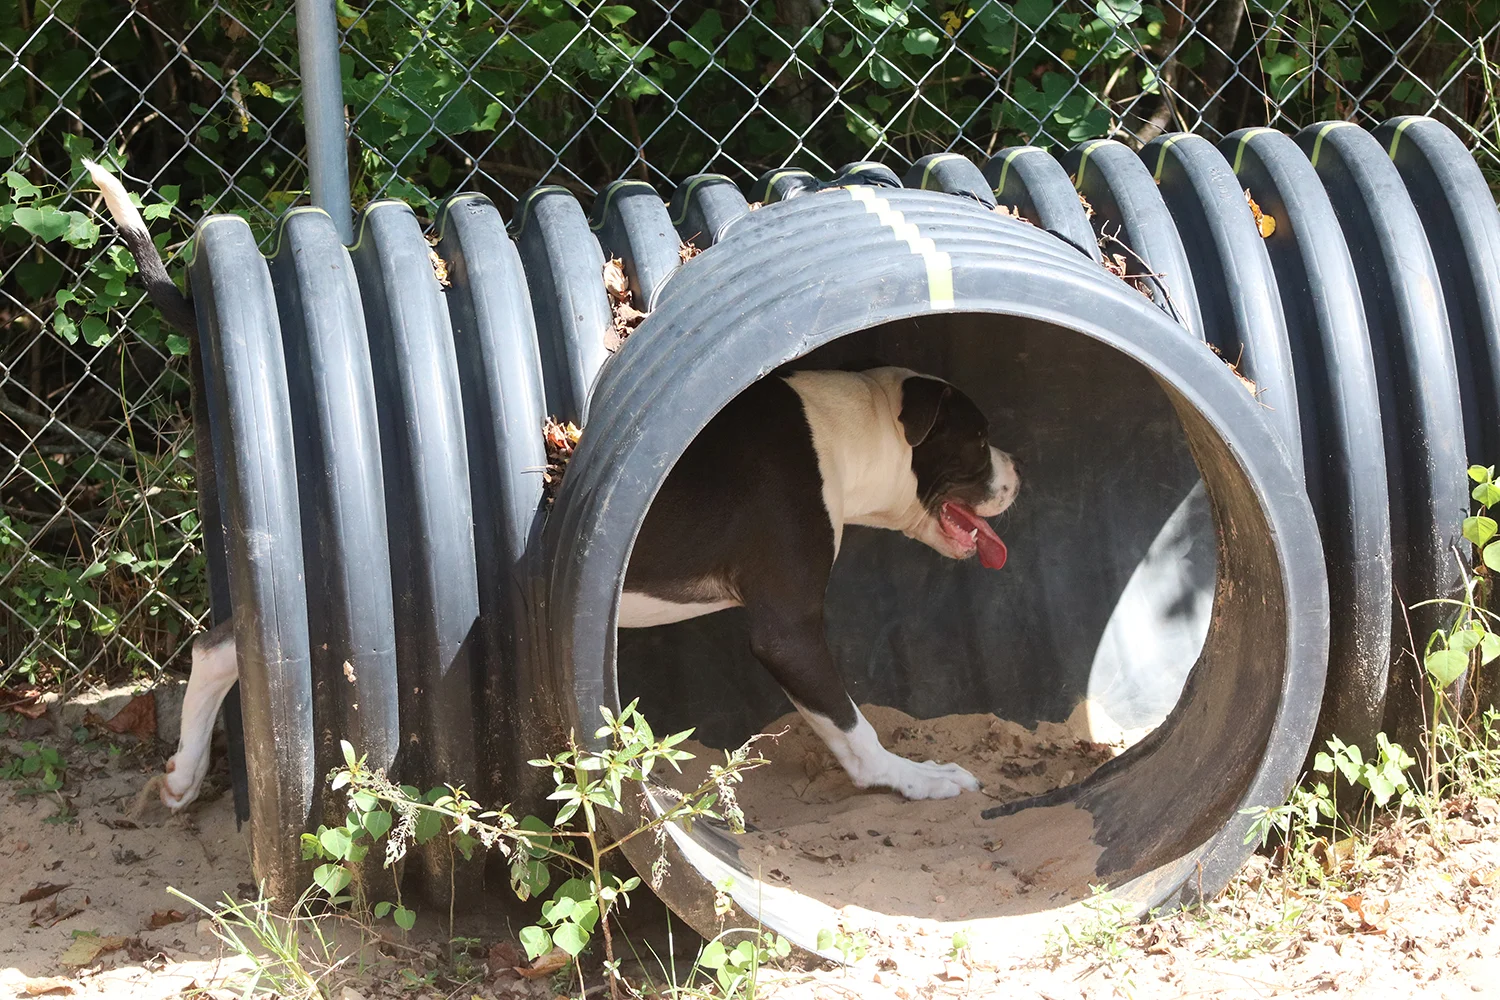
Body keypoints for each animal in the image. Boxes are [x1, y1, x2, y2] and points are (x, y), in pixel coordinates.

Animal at [86, 162, 1019, 809]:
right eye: (975, 441)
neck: (849, 433)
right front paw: (916, 778)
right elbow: (854, 730)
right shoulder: (787, 628)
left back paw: (182, 777)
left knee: (215, 648)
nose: (1019, 476)